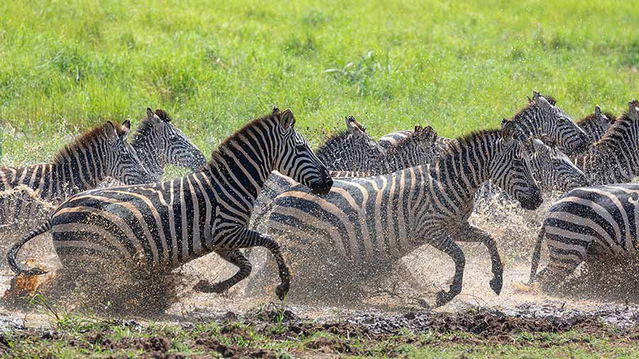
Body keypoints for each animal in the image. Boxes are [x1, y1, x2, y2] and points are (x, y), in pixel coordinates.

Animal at [262, 121, 544, 306]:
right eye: (519, 163)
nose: (540, 199)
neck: (450, 182)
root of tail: (281, 196)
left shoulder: (457, 227)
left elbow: (489, 240)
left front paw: (497, 281)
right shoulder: (432, 230)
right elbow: (461, 257)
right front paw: (446, 294)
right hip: (303, 249)